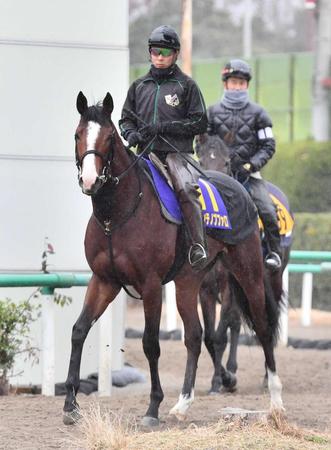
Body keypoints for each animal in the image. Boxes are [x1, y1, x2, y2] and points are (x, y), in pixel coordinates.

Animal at [196, 134, 294, 394]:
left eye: (227, 162)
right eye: (200, 159)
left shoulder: (230, 286)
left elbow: (221, 333)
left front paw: (222, 380)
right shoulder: (206, 288)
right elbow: (210, 336)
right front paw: (222, 378)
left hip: (271, 277)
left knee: (267, 320)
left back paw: (267, 377)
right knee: (237, 323)